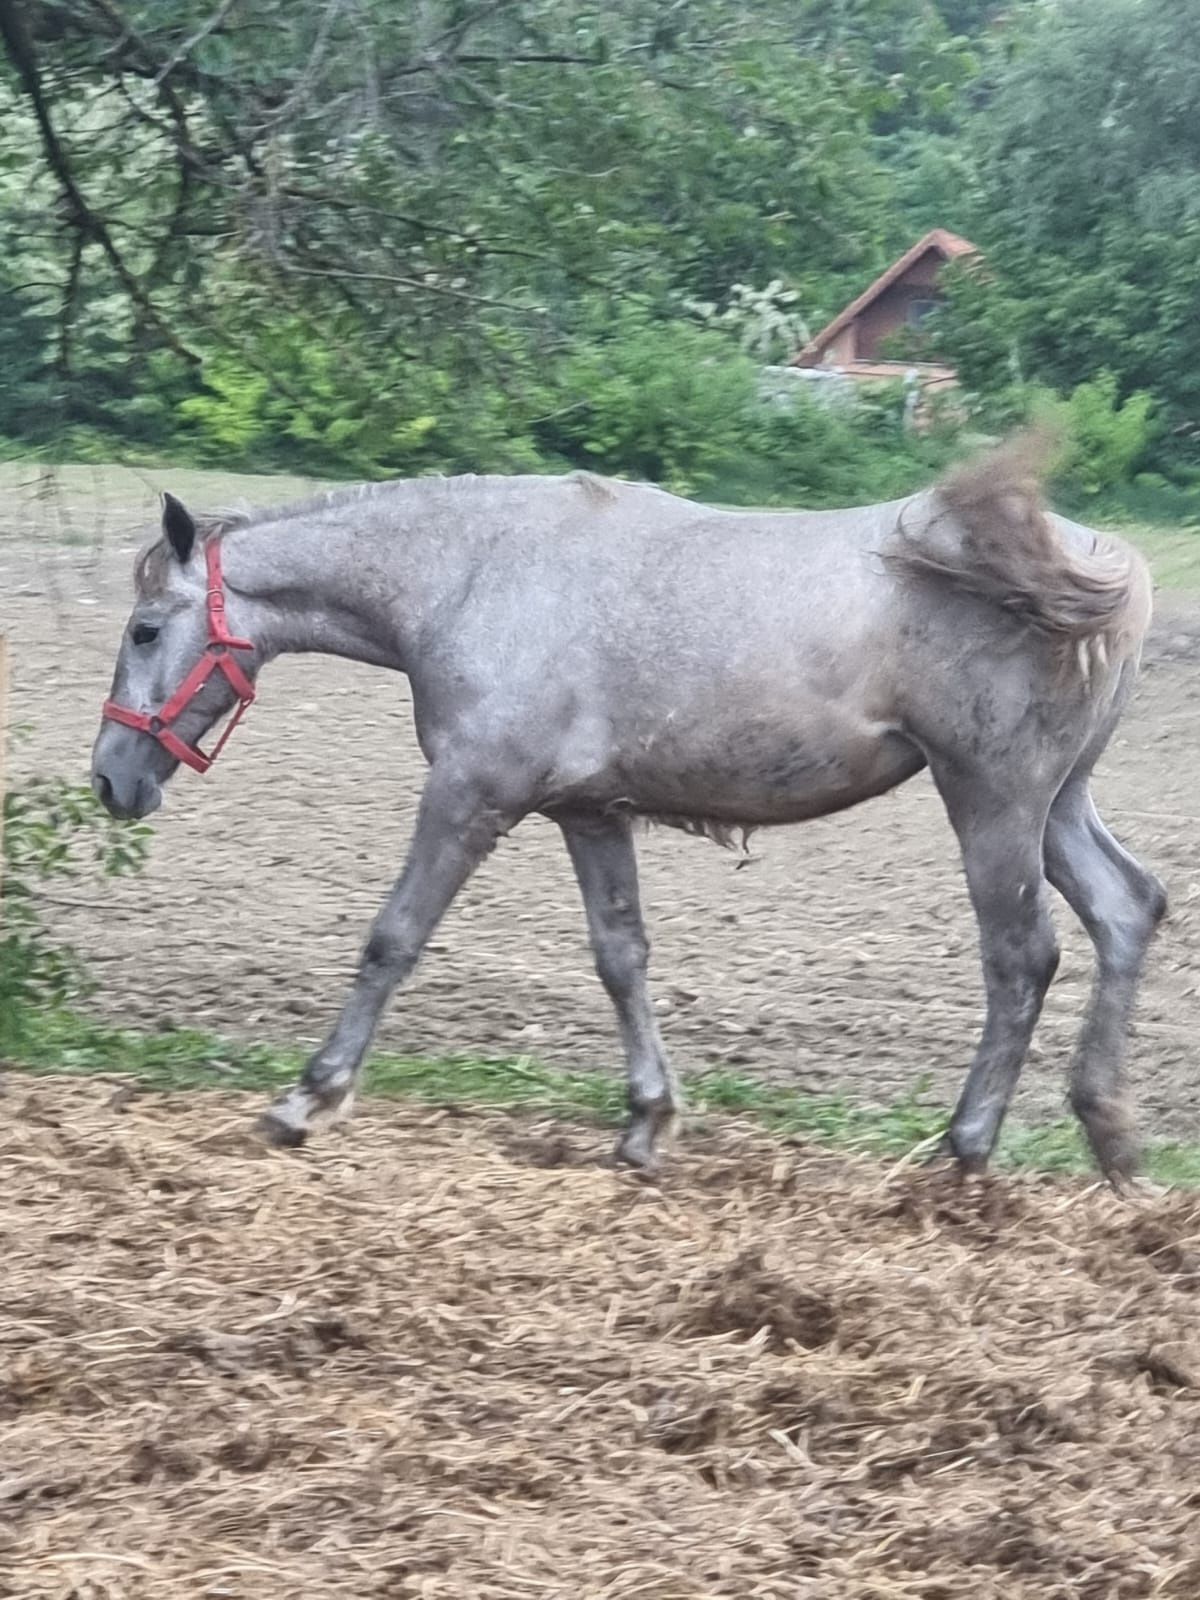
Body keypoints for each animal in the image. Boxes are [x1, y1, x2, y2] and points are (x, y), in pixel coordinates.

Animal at [91, 438, 1164, 1177]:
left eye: (146, 629)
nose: (109, 778)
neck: (475, 574)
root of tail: (1098, 568)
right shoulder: (590, 813)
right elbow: (621, 957)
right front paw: (647, 1120)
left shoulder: (469, 796)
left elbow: (393, 937)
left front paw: (309, 1097)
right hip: (1057, 806)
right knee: (1126, 910)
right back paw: (1110, 1136)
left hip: (993, 803)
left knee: (1022, 958)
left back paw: (967, 1149)